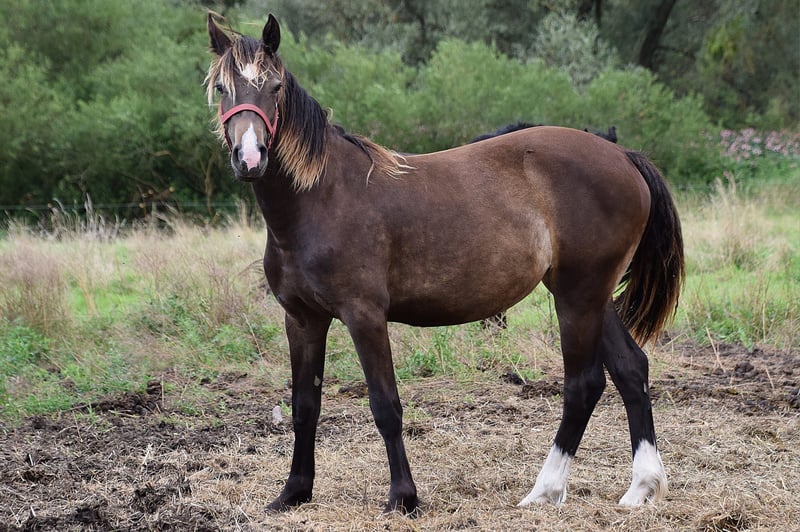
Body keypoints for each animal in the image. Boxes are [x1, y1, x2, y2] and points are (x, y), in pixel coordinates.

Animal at [205, 14, 684, 515]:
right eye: (222, 87)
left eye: (275, 86)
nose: (250, 157)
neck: (321, 199)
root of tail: (622, 155)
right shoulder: (302, 319)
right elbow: (304, 405)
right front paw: (294, 492)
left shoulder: (364, 316)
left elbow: (385, 405)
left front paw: (403, 497)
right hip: (590, 296)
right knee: (631, 369)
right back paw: (641, 487)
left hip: (579, 296)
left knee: (583, 384)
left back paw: (545, 489)